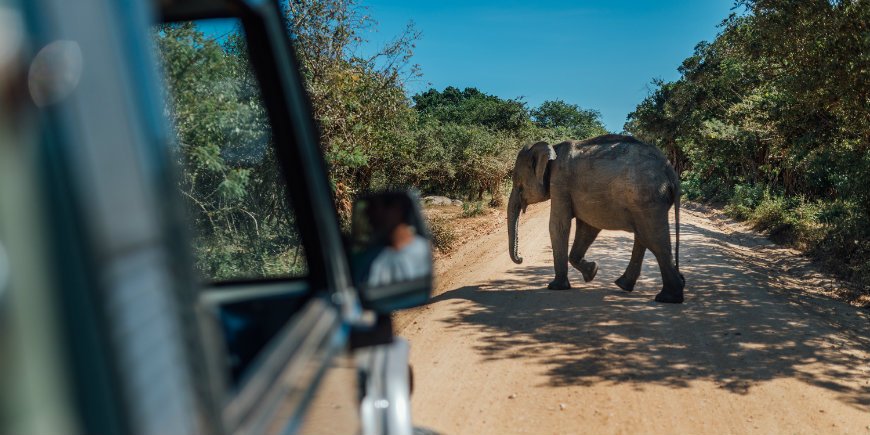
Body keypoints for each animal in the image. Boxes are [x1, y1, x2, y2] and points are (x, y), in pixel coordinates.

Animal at [507, 134, 685, 303]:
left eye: (518, 183)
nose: (521, 258)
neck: (553, 148)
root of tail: (671, 173)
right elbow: (587, 228)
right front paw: (592, 271)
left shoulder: (560, 182)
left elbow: (558, 225)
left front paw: (555, 287)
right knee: (644, 236)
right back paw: (628, 285)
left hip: (647, 197)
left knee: (654, 240)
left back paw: (668, 298)